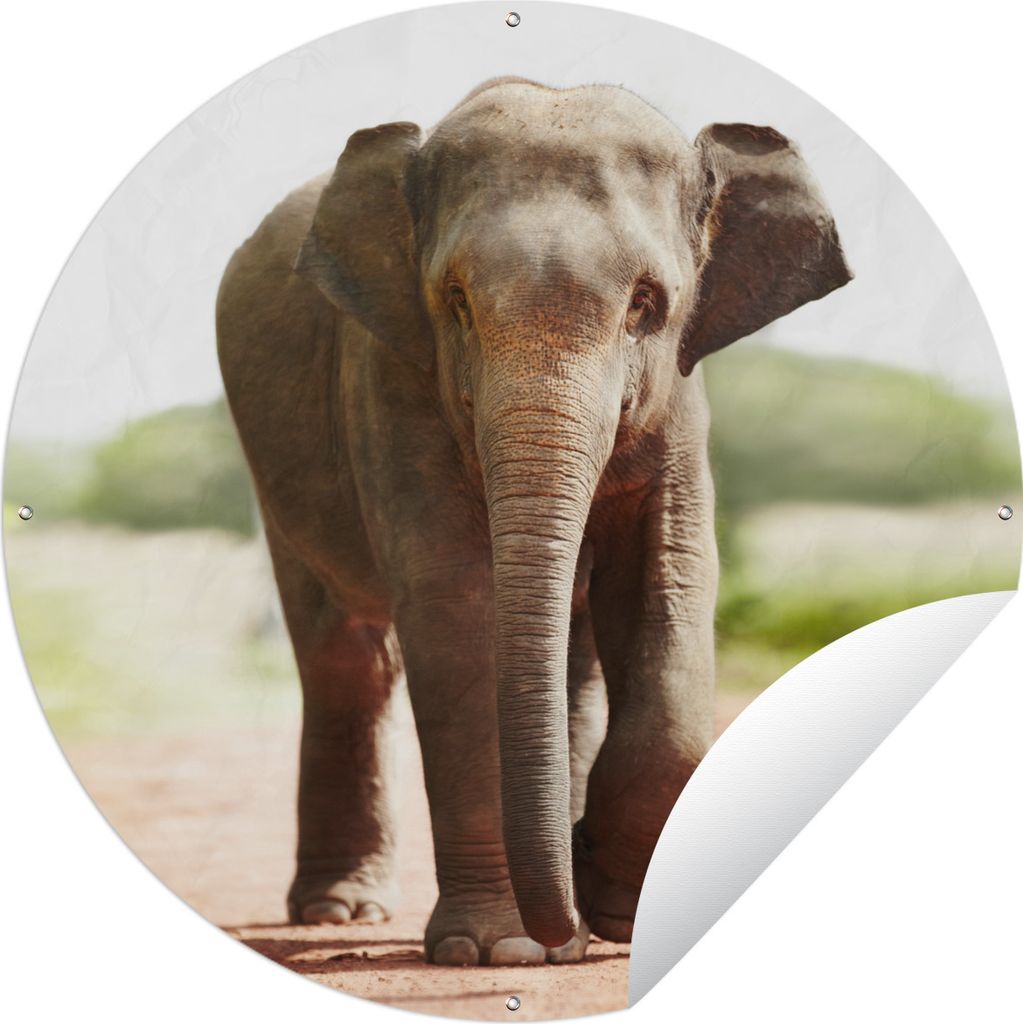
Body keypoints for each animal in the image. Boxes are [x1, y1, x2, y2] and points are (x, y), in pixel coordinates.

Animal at [216, 77, 851, 966]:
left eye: (646, 304)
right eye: (454, 302)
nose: (563, 927)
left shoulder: (680, 400)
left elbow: (666, 585)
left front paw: (610, 913)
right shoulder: (389, 378)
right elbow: (456, 606)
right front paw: (505, 951)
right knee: (346, 656)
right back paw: (340, 912)